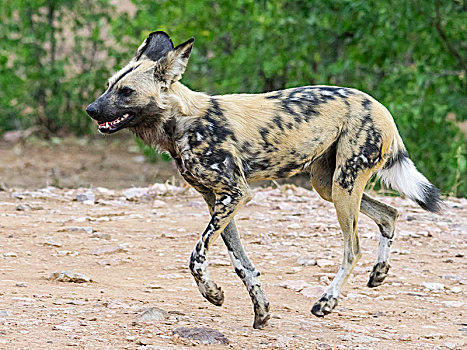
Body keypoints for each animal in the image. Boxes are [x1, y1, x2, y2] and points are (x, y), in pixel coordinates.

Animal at [87, 31, 442, 330]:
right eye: (108, 85)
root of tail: (379, 105)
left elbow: (196, 257)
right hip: (328, 185)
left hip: (344, 187)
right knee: (390, 214)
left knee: (352, 248)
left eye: (126, 92)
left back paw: (326, 303)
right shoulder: (217, 201)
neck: (182, 123)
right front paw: (260, 311)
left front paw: (212, 294)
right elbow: (242, 264)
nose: (90, 109)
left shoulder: (235, 194)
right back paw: (378, 275)